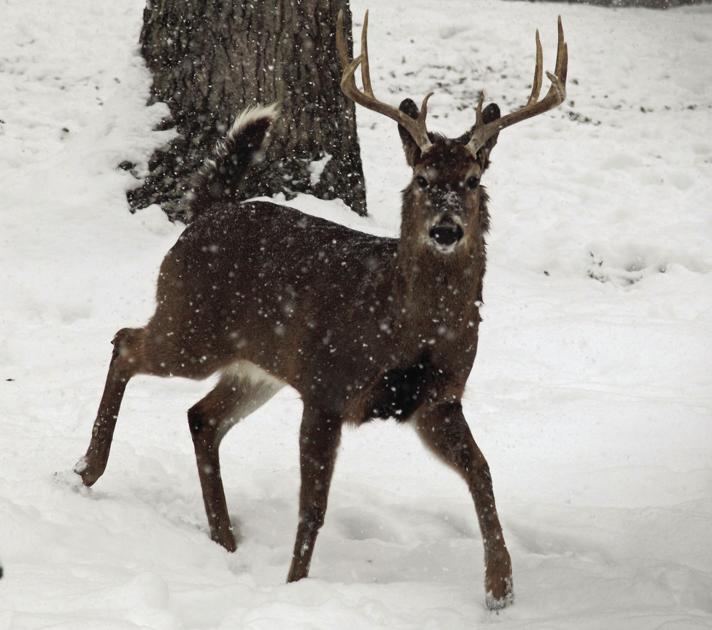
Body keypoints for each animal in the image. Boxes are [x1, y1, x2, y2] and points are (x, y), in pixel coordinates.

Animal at [74, 11, 567, 609]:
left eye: (473, 182)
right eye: (422, 179)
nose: (446, 229)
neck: (403, 325)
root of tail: (205, 213)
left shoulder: (437, 399)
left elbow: (483, 472)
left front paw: (500, 588)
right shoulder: (328, 384)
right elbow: (313, 506)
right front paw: (295, 588)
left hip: (258, 366)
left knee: (201, 416)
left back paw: (225, 538)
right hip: (191, 326)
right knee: (125, 341)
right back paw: (88, 469)